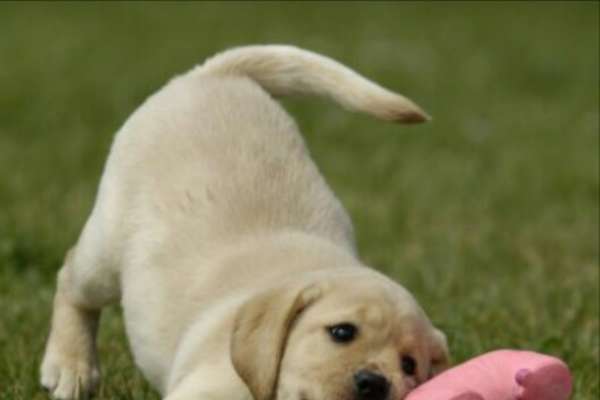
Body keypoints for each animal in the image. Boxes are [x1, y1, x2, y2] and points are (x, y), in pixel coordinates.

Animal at [39, 45, 448, 398]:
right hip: (106, 249)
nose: (374, 383)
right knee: (71, 279)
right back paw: (70, 368)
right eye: (342, 332)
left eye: (410, 365)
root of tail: (215, 73)